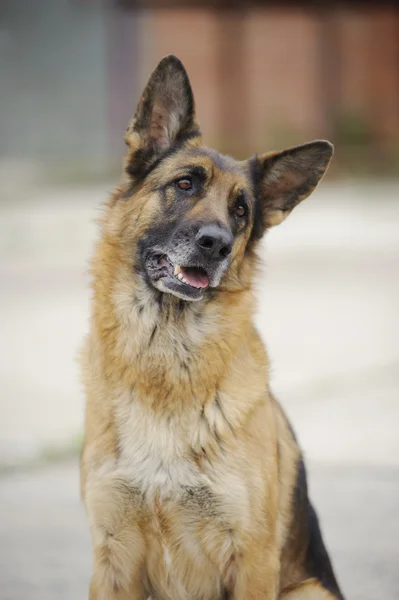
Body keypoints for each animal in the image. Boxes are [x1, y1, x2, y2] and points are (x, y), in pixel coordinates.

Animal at [79, 56, 346, 600]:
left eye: (241, 211)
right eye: (185, 184)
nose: (216, 243)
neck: (164, 358)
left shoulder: (252, 562)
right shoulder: (111, 562)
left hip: (308, 590)